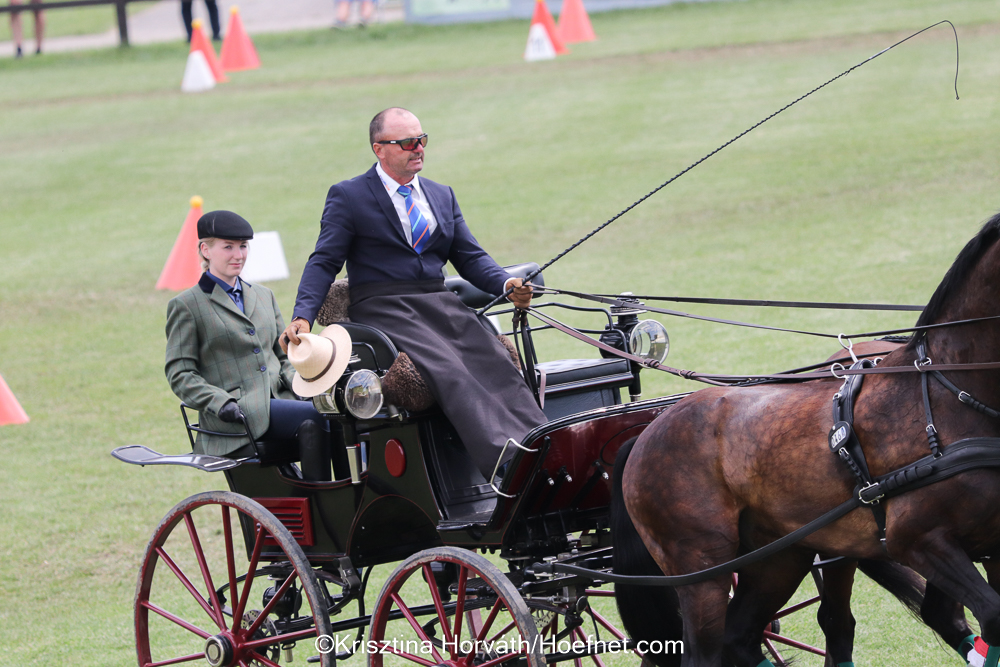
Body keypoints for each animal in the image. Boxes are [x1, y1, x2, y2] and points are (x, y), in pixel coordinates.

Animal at [613, 211, 1000, 666]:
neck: (947, 393)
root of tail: (644, 435)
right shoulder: (917, 540)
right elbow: (991, 614)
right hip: (701, 570)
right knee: (709, 651)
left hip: (779, 557)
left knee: (743, 635)